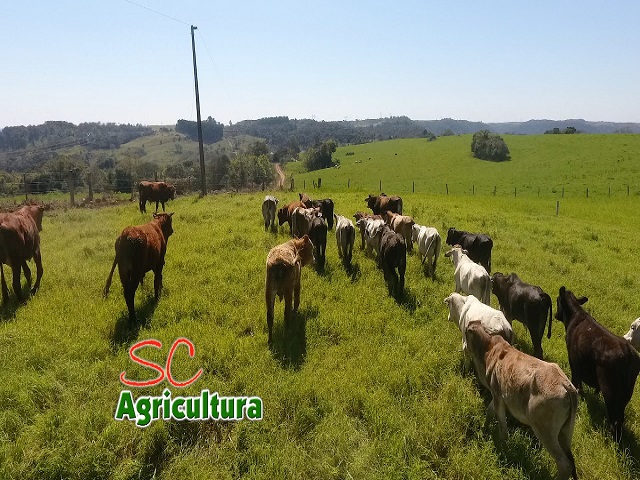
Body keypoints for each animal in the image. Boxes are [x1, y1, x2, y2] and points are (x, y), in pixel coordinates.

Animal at [464, 318, 580, 480]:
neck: (489, 350)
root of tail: (567, 385)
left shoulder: (497, 395)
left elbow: (502, 425)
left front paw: (503, 445)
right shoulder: (498, 393)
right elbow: (490, 410)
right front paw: (485, 427)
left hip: (544, 430)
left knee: (564, 464)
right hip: (565, 432)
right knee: (571, 460)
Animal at [556, 286, 640, 440]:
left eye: (558, 300)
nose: (555, 315)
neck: (575, 316)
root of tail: (628, 352)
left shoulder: (574, 362)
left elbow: (576, 382)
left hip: (609, 389)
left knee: (615, 418)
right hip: (626, 392)